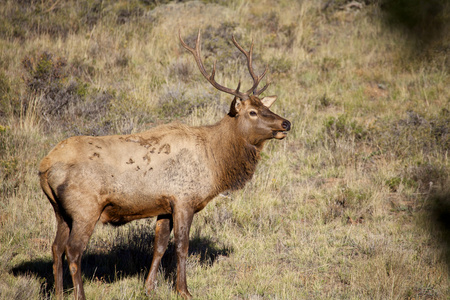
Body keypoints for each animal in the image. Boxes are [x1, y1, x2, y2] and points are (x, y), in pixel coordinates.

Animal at [38, 29, 292, 298]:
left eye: (265, 106)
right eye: (252, 112)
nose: (286, 123)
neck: (215, 162)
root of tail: (45, 167)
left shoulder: (163, 205)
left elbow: (158, 246)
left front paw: (149, 287)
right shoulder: (183, 199)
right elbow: (181, 246)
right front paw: (184, 290)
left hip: (60, 210)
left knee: (55, 247)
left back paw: (58, 292)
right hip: (85, 208)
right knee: (73, 251)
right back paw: (79, 294)